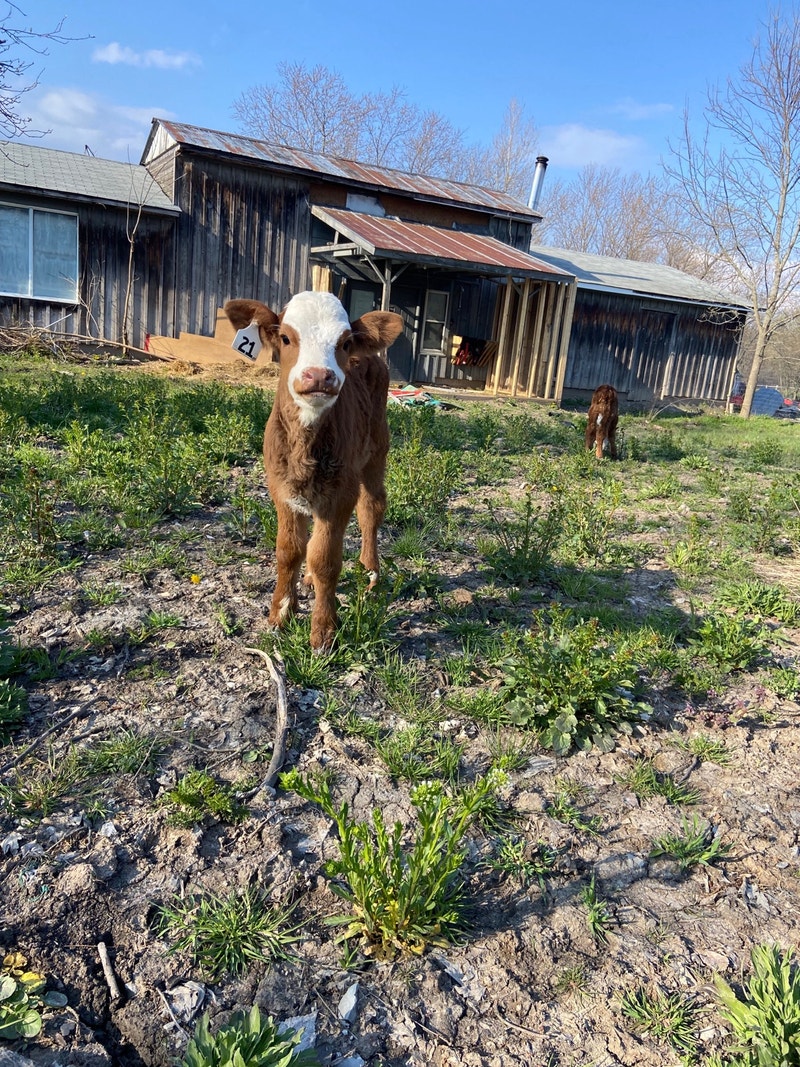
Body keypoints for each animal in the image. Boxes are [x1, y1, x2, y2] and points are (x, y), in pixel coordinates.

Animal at [224, 291, 404, 651]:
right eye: (285, 337)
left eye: (345, 342)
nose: (319, 376)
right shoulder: (280, 488)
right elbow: (289, 550)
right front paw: (280, 613)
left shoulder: (341, 492)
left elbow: (326, 559)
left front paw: (323, 631)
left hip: (377, 448)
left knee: (372, 507)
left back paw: (371, 572)